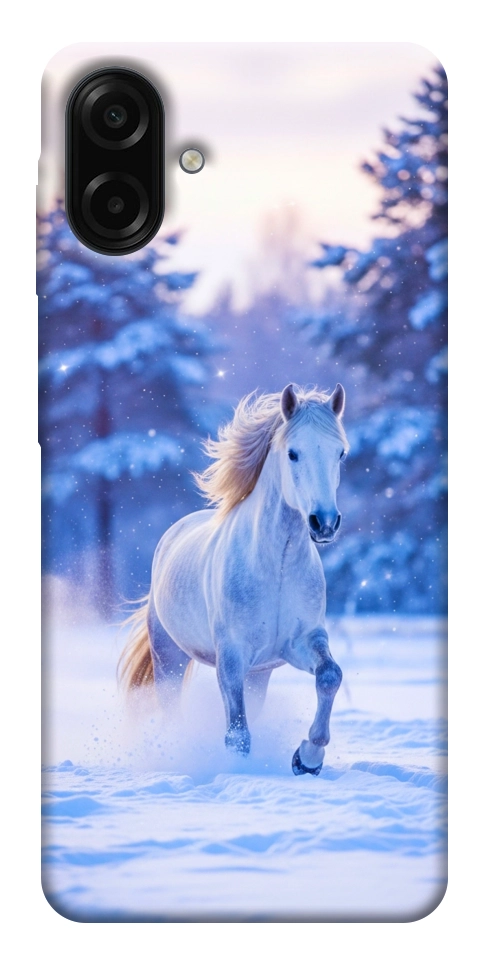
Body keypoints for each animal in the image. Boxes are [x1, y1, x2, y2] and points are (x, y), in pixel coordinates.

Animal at [119, 382, 349, 775]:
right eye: (293, 453)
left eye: (340, 454)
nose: (324, 523)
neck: (276, 567)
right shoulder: (231, 656)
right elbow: (237, 734)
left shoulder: (301, 642)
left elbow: (330, 676)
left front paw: (307, 758)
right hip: (169, 657)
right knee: (171, 709)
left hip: (259, 674)